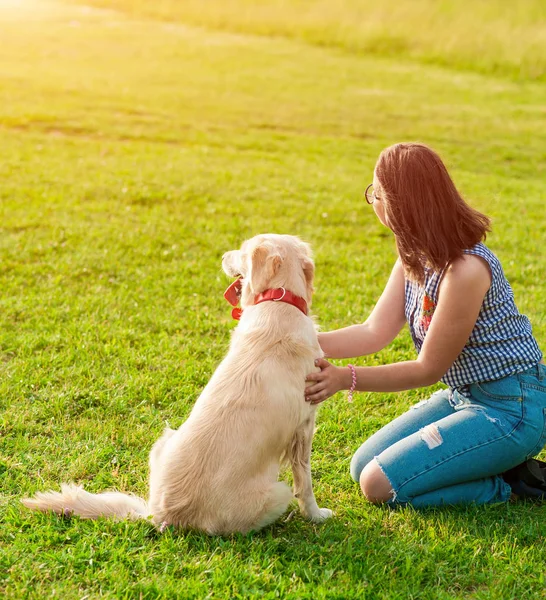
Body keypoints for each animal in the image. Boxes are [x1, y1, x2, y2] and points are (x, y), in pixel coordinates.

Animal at [22, 233, 332, 536]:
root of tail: (162, 516)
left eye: (242, 251)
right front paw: (316, 515)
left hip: (163, 439)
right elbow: (305, 483)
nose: (222, 256)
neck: (278, 302)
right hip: (278, 492)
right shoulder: (304, 428)